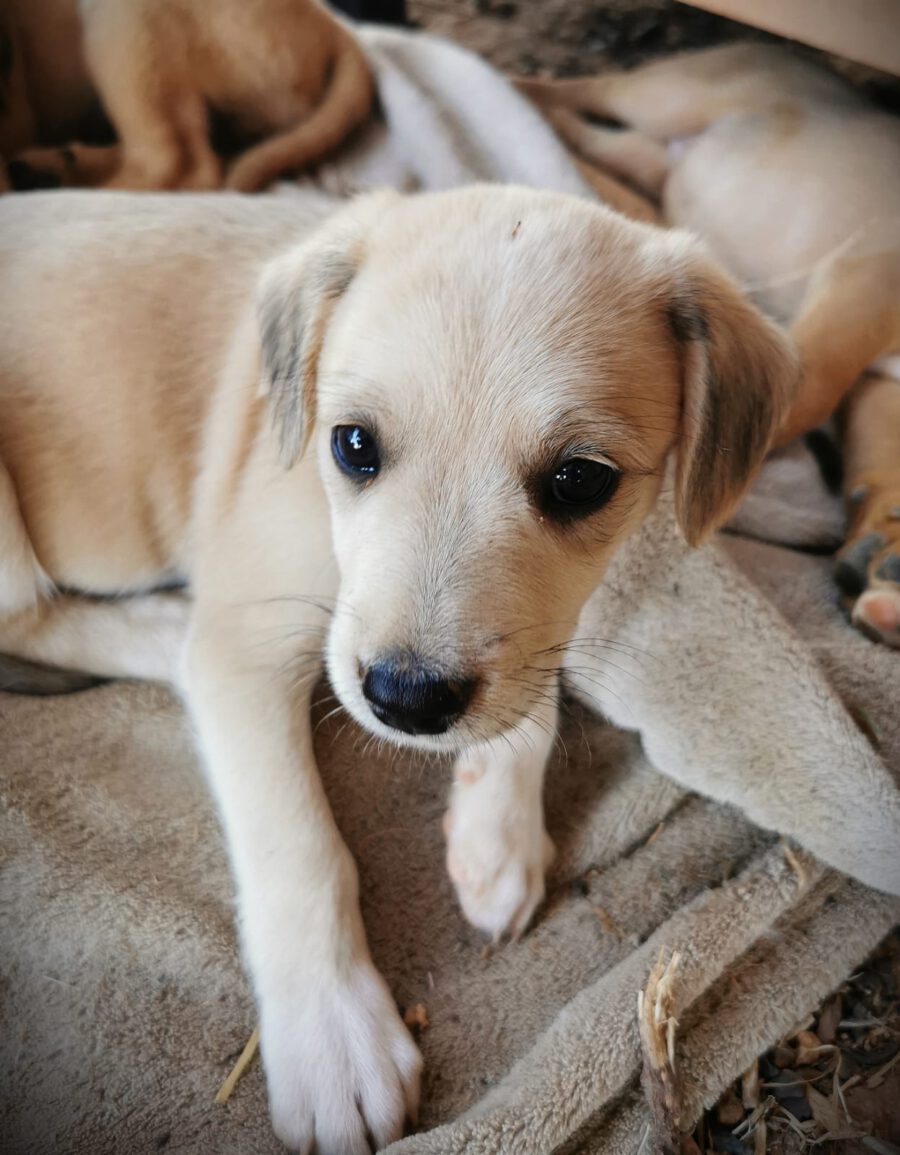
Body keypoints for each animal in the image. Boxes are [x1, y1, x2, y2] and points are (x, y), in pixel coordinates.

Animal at [0, 184, 797, 1151]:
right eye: (352, 444)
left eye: (580, 480)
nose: (407, 702)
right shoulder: (249, 648)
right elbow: (299, 845)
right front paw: (334, 1037)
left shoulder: (543, 626)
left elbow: (531, 689)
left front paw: (496, 837)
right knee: (32, 613)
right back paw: (163, 626)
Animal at [519, 42, 900, 647]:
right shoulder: (865, 285)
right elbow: (804, 388)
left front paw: (886, 571)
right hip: (671, 95)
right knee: (583, 88)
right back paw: (512, 80)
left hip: (656, 153)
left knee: (597, 136)